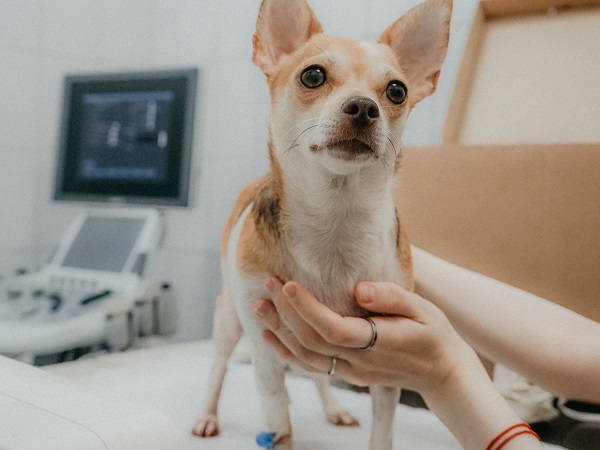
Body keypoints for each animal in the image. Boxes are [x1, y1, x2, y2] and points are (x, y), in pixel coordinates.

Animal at [192, 0, 450, 446]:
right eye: (312, 75)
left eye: (396, 91)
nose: (364, 106)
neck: (336, 218)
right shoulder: (264, 352)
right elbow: (279, 423)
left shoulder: (388, 375)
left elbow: (382, 428)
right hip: (228, 321)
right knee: (219, 367)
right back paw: (208, 415)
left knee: (316, 376)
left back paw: (334, 409)